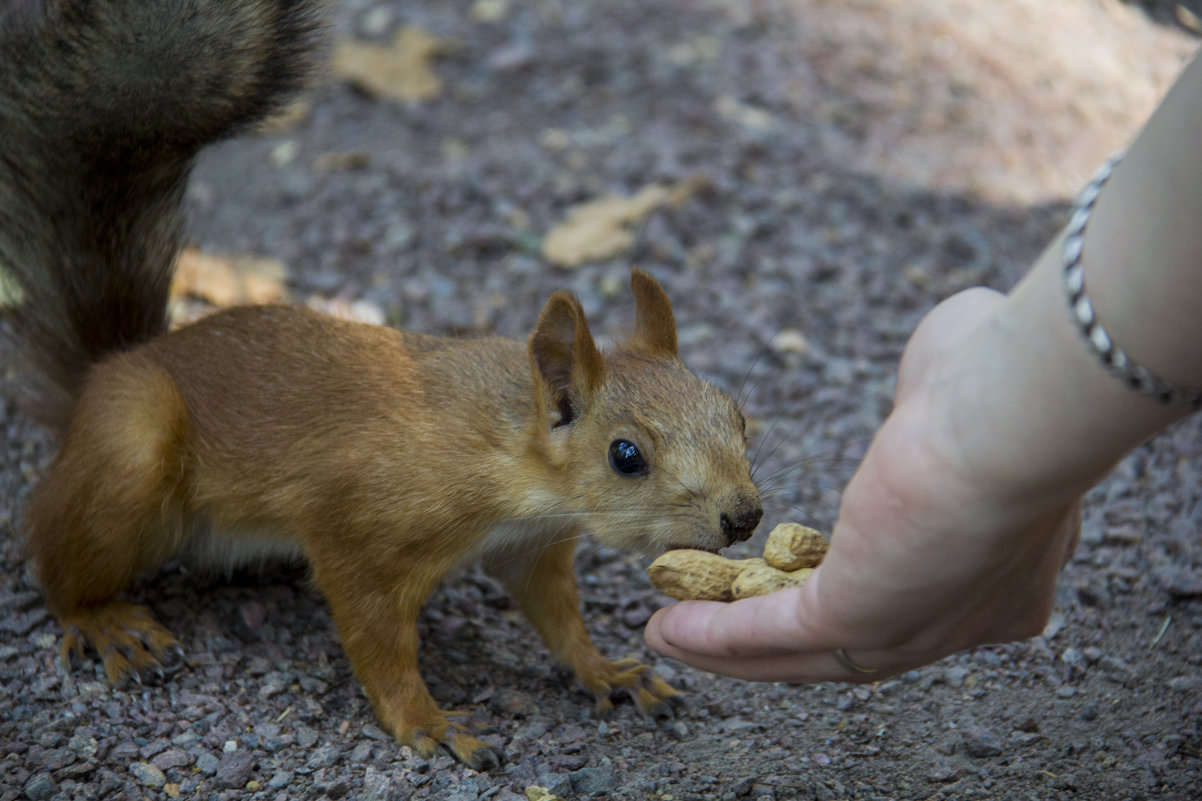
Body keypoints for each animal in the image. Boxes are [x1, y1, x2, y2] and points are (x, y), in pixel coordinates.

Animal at [2, 0, 759, 769]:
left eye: (737, 415)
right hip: (132, 450)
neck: (508, 461)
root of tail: (103, 375)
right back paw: (103, 620)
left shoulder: (530, 545)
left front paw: (605, 669)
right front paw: (427, 720)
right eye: (625, 455)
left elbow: (556, 615)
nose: (745, 517)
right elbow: (376, 639)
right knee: (54, 560)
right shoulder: (358, 528)